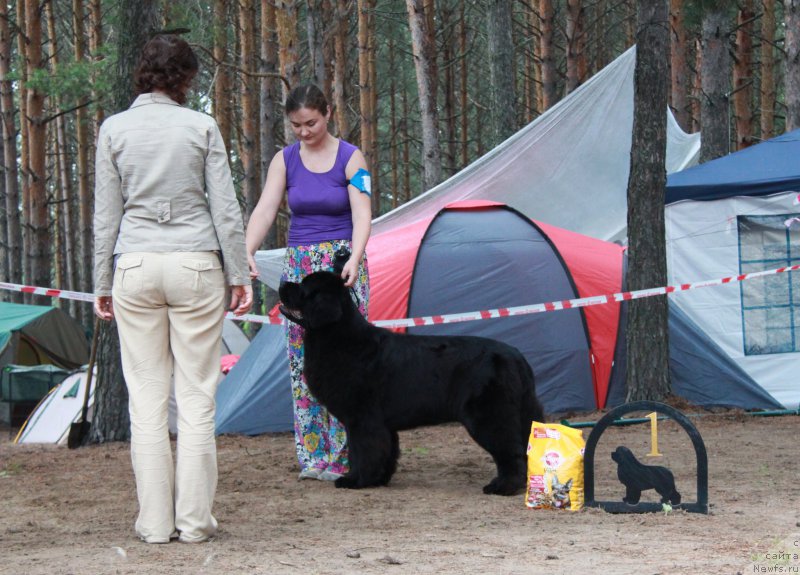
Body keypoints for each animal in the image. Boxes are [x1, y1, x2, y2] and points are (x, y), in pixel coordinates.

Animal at [278, 272, 548, 496]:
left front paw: (355, 480)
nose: (282, 284)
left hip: (489, 415)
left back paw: (503, 487)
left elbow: (361, 451)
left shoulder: (362, 419)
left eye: (303, 287)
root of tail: (515, 356)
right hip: (520, 411)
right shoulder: (381, 423)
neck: (338, 337)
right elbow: (386, 451)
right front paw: (379, 479)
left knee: (510, 452)